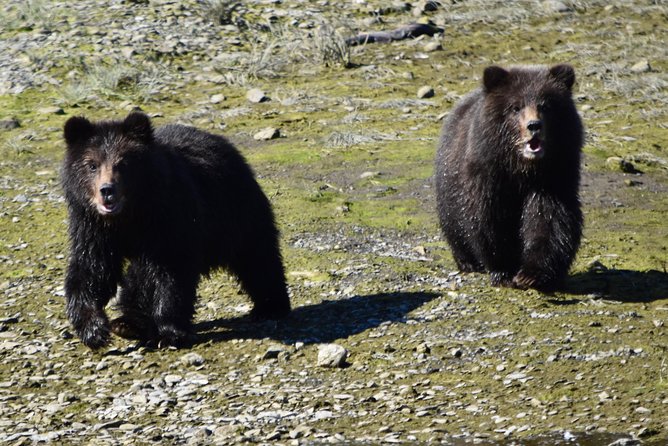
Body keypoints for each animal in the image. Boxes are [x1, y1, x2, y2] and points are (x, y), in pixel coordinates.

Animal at [61, 111, 291, 349]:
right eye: (92, 165)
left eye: (123, 163)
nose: (107, 190)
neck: (128, 217)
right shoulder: (92, 226)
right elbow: (92, 269)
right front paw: (93, 330)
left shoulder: (170, 216)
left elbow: (171, 269)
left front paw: (170, 331)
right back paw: (128, 324)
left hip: (236, 212)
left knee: (257, 257)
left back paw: (270, 306)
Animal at [435, 64, 583, 291]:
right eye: (516, 107)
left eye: (546, 105)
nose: (534, 125)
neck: (522, 169)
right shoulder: (488, 175)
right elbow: (488, 218)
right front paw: (503, 270)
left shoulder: (553, 177)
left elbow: (551, 219)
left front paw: (532, 274)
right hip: (448, 188)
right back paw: (467, 261)